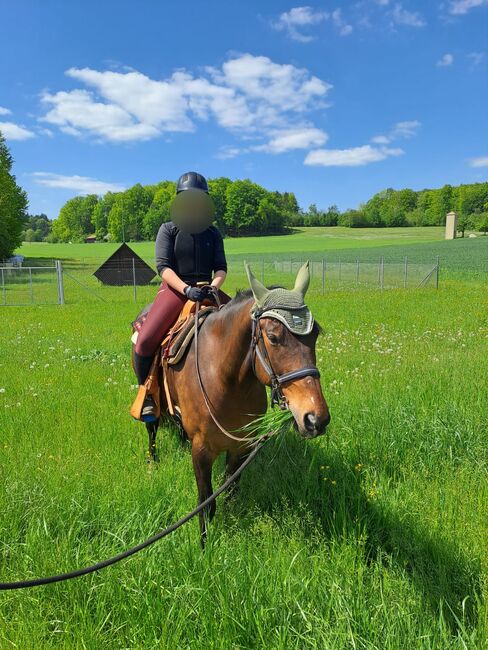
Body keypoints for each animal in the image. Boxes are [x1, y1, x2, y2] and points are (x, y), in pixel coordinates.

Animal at [131, 260, 328, 540]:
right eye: (273, 336)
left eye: (316, 334)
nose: (315, 418)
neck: (227, 380)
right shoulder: (202, 450)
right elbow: (206, 503)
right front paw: (204, 543)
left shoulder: (241, 446)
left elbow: (231, 492)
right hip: (153, 398)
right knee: (152, 427)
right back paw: (152, 460)